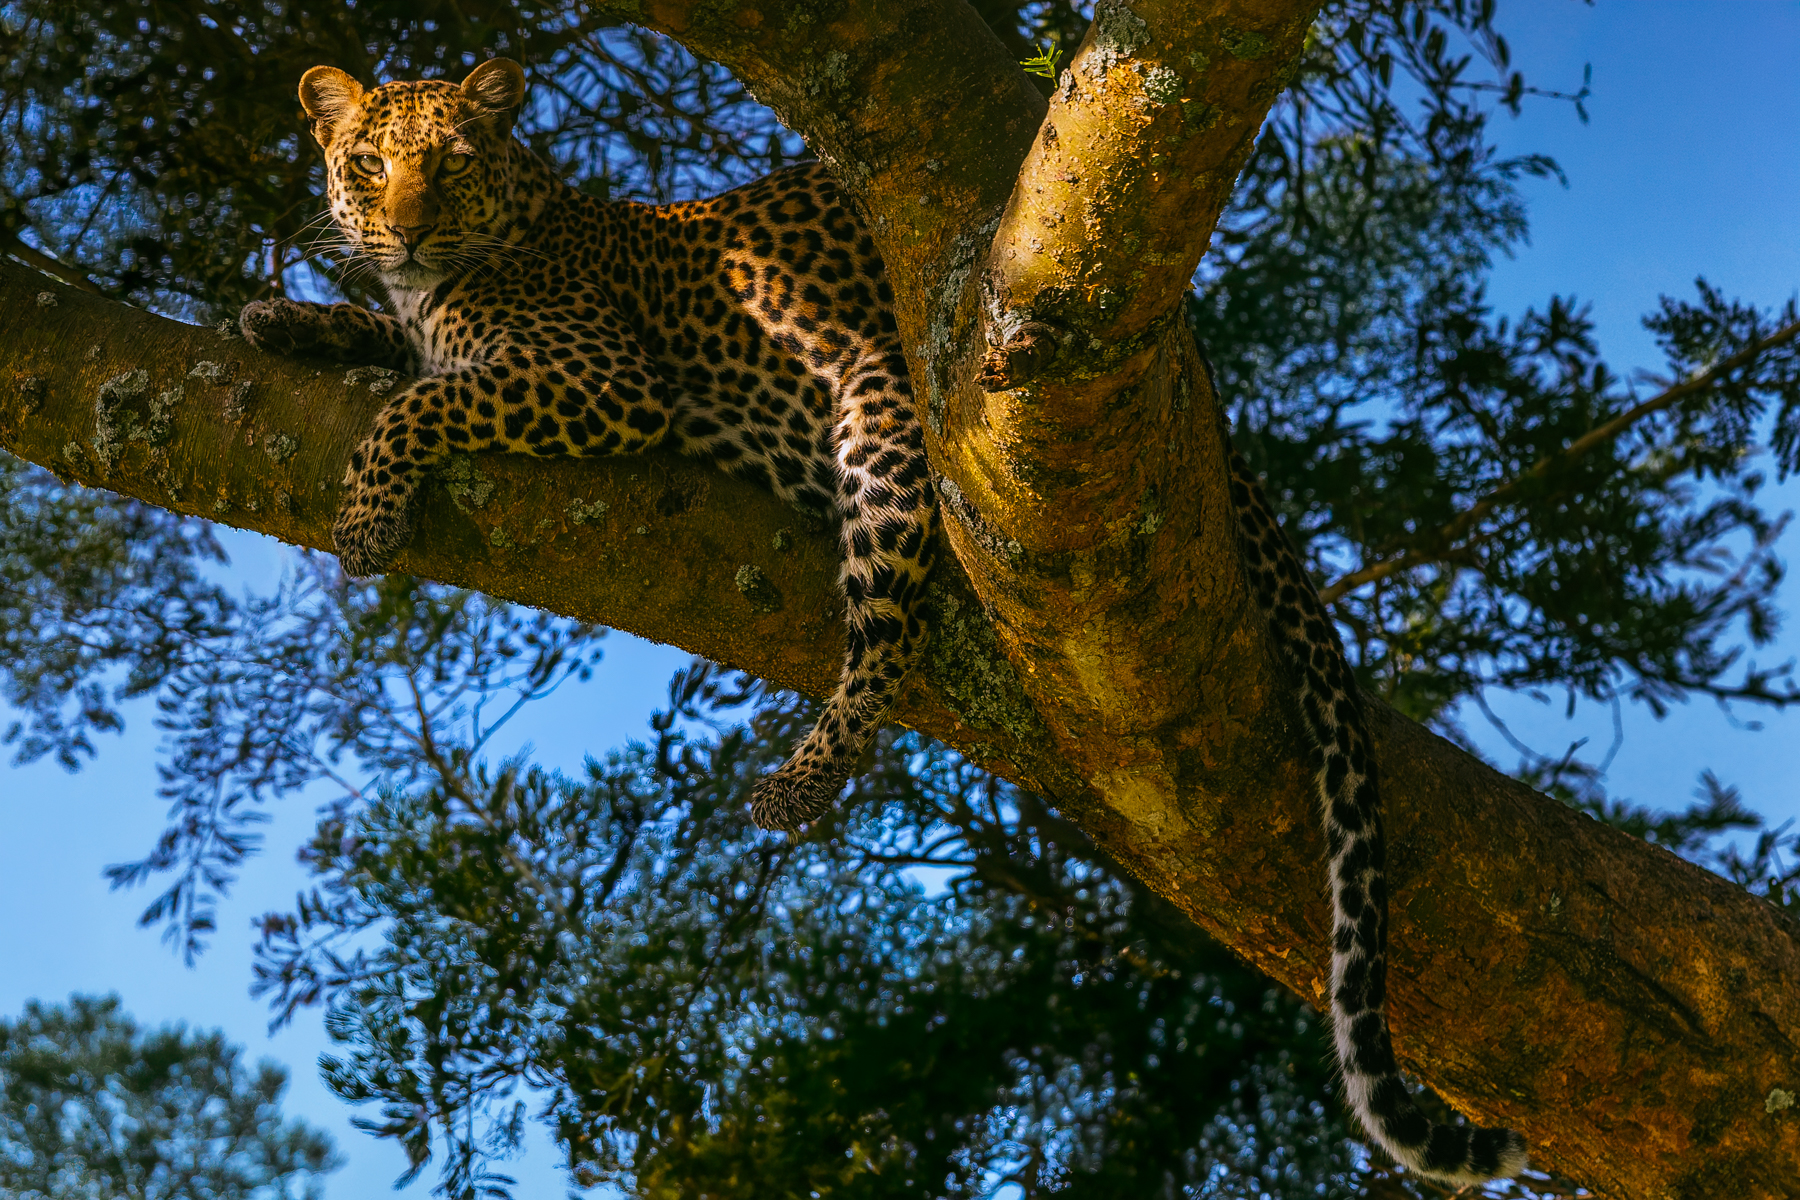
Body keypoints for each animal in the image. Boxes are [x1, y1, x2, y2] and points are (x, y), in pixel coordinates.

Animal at [238, 57, 1526, 1185]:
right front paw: (285, 318)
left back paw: (798, 781)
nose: (404, 232)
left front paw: (362, 515)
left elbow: (419, 399)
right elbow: (399, 352)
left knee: (892, 635)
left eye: (449, 164)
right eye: (366, 164)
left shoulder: (603, 380)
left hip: (886, 410)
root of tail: (1202, 395)